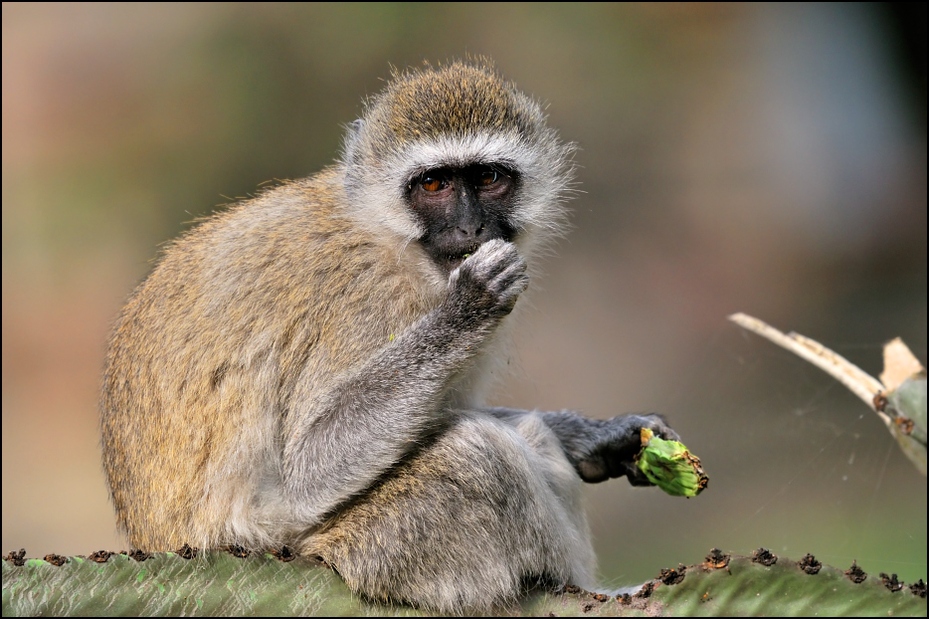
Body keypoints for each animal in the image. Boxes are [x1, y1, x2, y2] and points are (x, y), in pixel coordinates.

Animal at [101, 60, 676, 612]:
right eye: (434, 185)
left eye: (489, 177)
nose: (471, 230)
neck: (386, 237)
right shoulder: (364, 301)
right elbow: (307, 465)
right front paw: (468, 308)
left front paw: (597, 435)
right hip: (341, 551)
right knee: (476, 454)